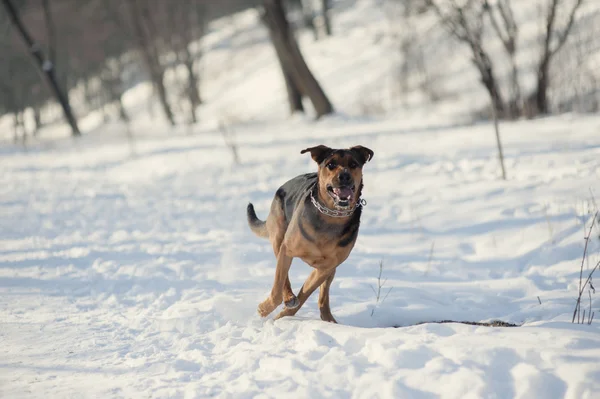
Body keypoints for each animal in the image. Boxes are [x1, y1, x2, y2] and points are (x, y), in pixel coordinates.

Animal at [246, 145, 372, 324]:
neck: (332, 217)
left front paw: (282, 316)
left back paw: (328, 319)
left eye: (353, 164)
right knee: (284, 276)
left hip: (330, 270)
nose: (345, 176)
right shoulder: (287, 249)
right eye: (331, 164)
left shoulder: (326, 267)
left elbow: (306, 293)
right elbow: (278, 287)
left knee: (323, 295)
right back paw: (289, 298)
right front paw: (265, 309)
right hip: (278, 233)